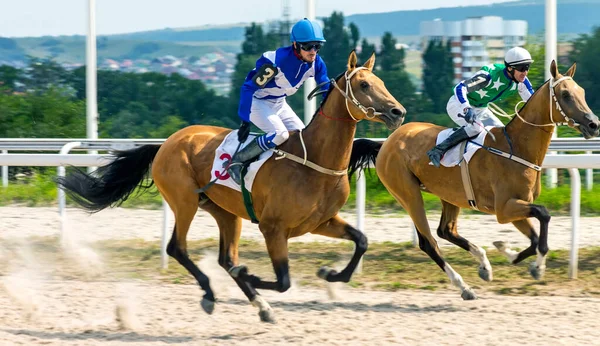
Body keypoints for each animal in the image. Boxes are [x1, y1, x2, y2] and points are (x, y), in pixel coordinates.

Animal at [56, 50, 406, 322]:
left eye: (382, 83)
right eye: (364, 84)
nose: (397, 112)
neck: (315, 161)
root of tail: (167, 142)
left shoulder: (320, 222)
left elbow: (361, 240)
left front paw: (330, 274)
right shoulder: (273, 228)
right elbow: (283, 280)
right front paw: (252, 275)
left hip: (225, 211)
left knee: (226, 258)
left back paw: (261, 307)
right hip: (185, 201)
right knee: (177, 248)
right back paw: (211, 294)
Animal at [346, 60, 600, 298]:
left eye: (582, 92)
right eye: (566, 95)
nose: (593, 124)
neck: (516, 148)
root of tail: (385, 143)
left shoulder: (515, 206)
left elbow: (535, 238)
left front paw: (507, 251)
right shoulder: (504, 209)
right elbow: (544, 215)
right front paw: (536, 267)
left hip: (448, 194)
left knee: (446, 231)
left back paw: (484, 265)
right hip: (408, 193)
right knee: (429, 241)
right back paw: (464, 287)